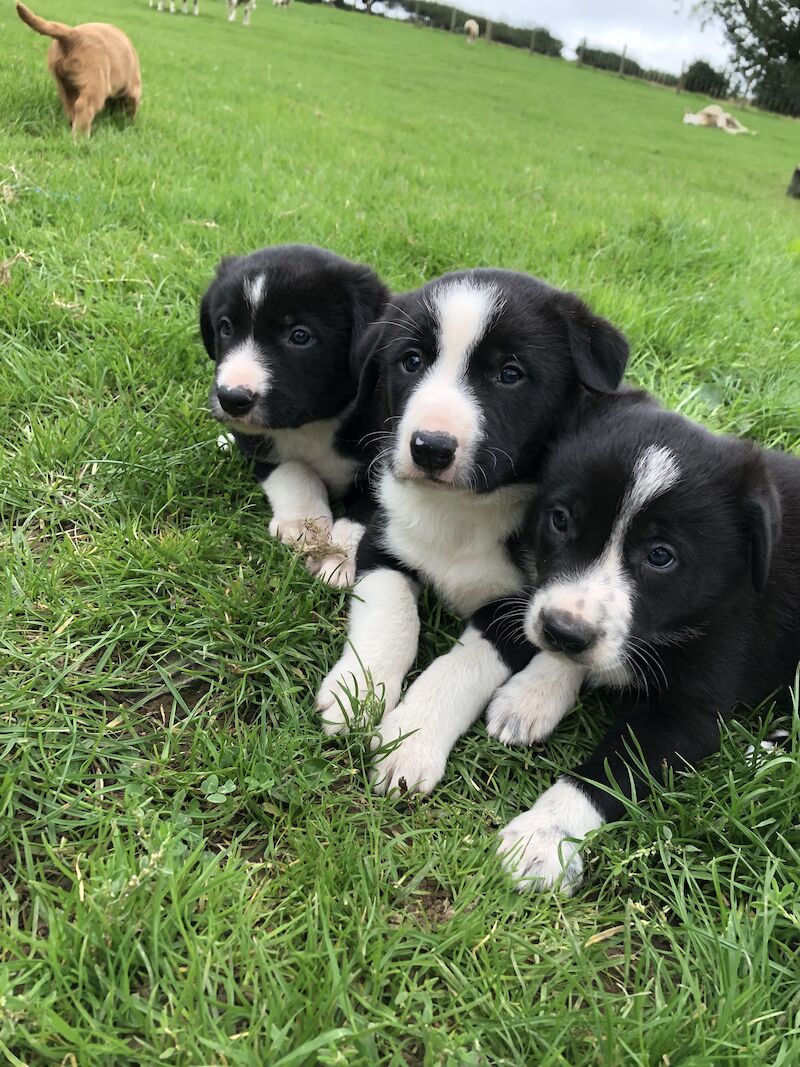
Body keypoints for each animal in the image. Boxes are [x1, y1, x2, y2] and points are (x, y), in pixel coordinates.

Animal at [15, 1, 141, 139]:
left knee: (71, 107)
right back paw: (81, 137)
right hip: (96, 82)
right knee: (83, 106)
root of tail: (73, 34)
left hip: (64, 83)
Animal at [200, 245, 388, 588]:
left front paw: (338, 557)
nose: (232, 399)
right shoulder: (256, 441)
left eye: (300, 336)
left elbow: (369, 510)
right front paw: (303, 523)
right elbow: (291, 468)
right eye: (226, 327)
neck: (314, 424)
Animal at [315, 265, 631, 789]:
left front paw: (410, 743)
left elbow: (460, 667)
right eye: (411, 361)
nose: (430, 448)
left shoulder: (521, 609)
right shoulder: (385, 547)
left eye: (510, 374)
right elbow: (391, 617)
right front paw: (356, 693)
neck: (461, 511)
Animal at [475, 392, 800, 892]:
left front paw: (543, 838)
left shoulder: (690, 710)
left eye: (661, 556)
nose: (560, 631)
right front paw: (531, 696)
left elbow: (610, 772)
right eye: (560, 519)